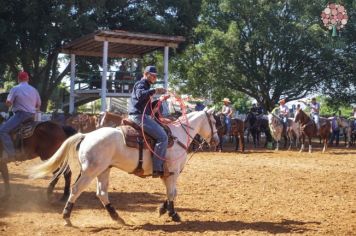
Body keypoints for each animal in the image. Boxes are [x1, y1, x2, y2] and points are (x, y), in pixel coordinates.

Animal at [29, 109, 220, 227]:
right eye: (214, 122)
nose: (216, 141)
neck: (177, 136)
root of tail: (86, 135)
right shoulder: (172, 172)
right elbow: (172, 193)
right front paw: (174, 214)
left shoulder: (168, 174)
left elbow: (170, 193)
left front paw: (162, 209)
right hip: (90, 172)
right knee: (76, 190)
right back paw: (66, 217)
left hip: (103, 170)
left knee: (102, 193)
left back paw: (117, 217)